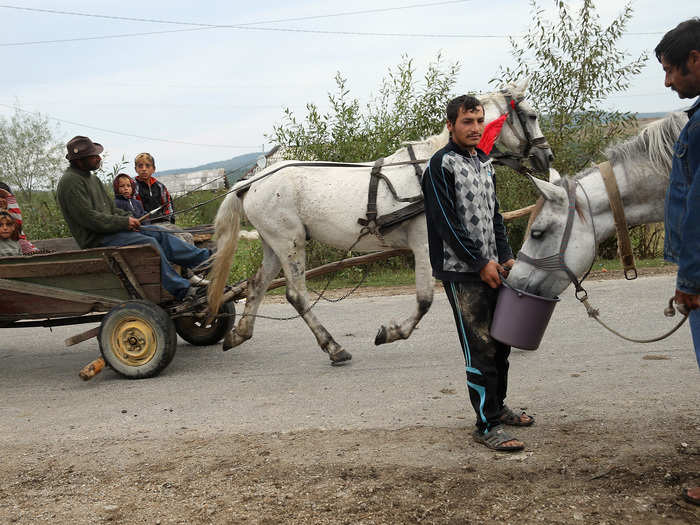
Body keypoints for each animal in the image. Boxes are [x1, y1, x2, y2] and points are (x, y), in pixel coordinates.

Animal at [208, 85, 552, 364]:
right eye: (532, 115)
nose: (546, 156)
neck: (432, 165)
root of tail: (252, 182)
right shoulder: (425, 245)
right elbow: (425, 299)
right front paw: (392, 332)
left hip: (274, 243)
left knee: (257, 284)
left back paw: (239, 334)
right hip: (290, 242)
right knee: (297, 294)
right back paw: (333, 347)